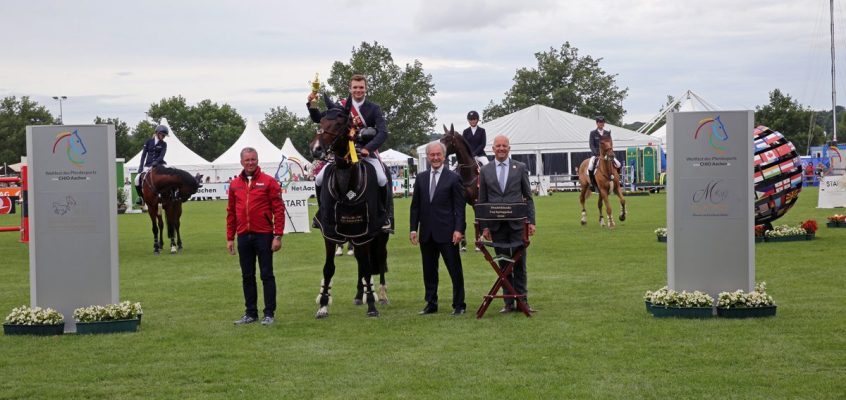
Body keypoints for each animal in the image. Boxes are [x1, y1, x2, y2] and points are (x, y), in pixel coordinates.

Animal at [312, 101, 390, 318]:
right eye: (321, 120)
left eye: (340, 123)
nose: (317, 149)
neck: (346, 184)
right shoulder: (330, 233)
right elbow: (328, 268)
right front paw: (323, 305)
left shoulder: (365, 233)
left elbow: (368, 267)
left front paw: (371, 305)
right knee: (360, 262)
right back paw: (358, 294)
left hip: (380, 234)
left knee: (378, 259)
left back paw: (381, 295)